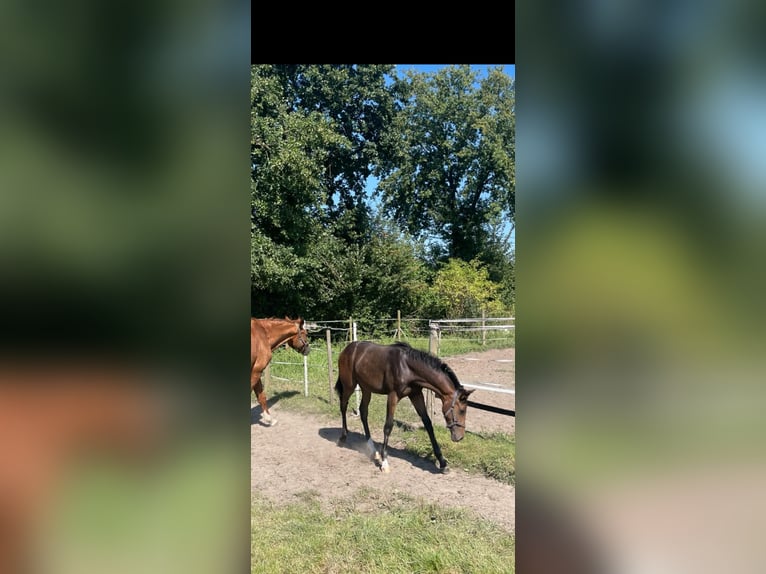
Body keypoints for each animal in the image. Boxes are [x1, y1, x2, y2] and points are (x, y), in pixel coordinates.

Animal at [336, 342, 474, 472]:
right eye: (462, 410)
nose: (460, 437)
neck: (408, 368)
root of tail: (347, 349)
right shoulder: (393, 396)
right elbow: (388, 426)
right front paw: (384, 462)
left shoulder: (416, 394)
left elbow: (428, 423)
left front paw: (442, 462)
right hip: (349, 385)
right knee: (343, 406)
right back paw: (343, 437)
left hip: (366, 389)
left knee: (363, 411)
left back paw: (373, 450)